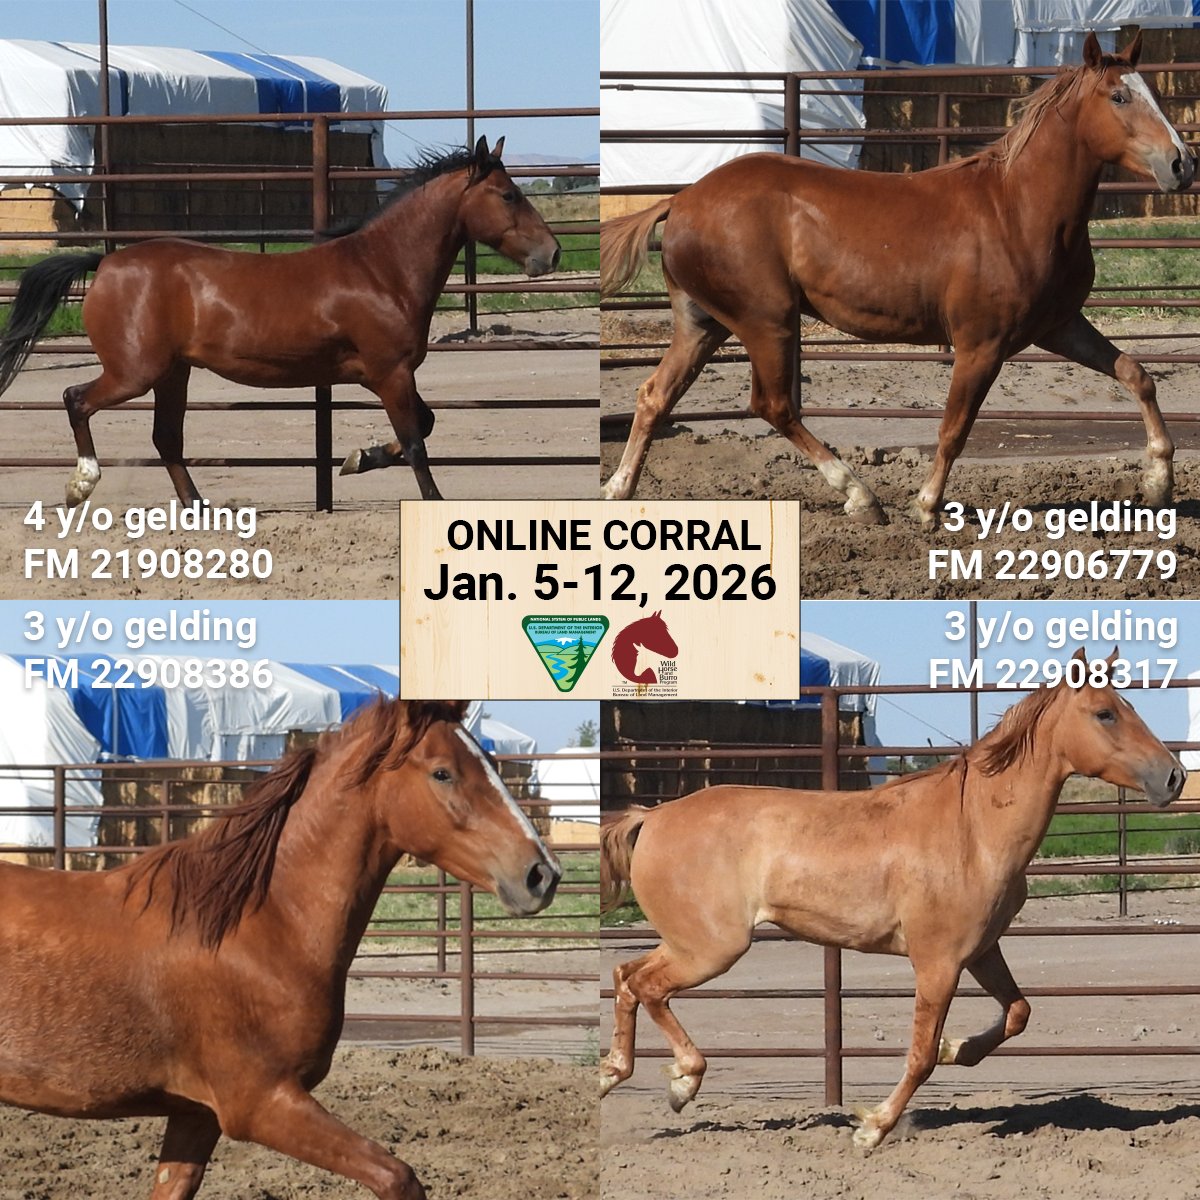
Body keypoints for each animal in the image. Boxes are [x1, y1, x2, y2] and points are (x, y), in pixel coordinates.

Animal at [0, 136, 560, 504]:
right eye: (509, 195)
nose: (551, 254)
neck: (382, 269)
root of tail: (106, 262)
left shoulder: (391, 375)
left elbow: (423, 426)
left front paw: (356, 458)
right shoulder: (391, 374)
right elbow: (417, 443)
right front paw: (430, 501)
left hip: (172, 374)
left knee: (167, 439)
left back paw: (199, 510)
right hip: (133, 373)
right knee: (76, 399)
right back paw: (81, 485)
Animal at [0, 697, 561, 1199]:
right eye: (443, 773)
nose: (542, 875)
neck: (260, 926)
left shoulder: (195, 1114)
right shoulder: (262, 1104)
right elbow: (398, 1177)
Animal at [599, 650, 1184, 1148]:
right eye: (1106, 713)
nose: (1175, 776)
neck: (974, 831)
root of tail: (652, 816)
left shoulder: (981, 951)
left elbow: (1017, 1012)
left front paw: (958, 1048)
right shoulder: (937, 962)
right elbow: (921, 1055)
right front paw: (873, 1127)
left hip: (688, 941)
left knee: (627, 976)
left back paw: (614, 1073)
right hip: (713, 947)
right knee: (647, 986)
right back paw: (681, 1083)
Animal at [600, 33, 1194, 525]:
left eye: (1152, 93)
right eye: (1119, 97)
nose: (1181, 164)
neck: (1019, 209)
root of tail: (681, 200)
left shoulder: (1058, 326)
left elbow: (1137, 374)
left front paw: (1159, 484)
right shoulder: (981, 345)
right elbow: (954, 428)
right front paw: (926, 507)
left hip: (703, 324)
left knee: (655, 396)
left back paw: (618, 489)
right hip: (768, 321)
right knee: (773, 405)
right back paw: (861, 497)